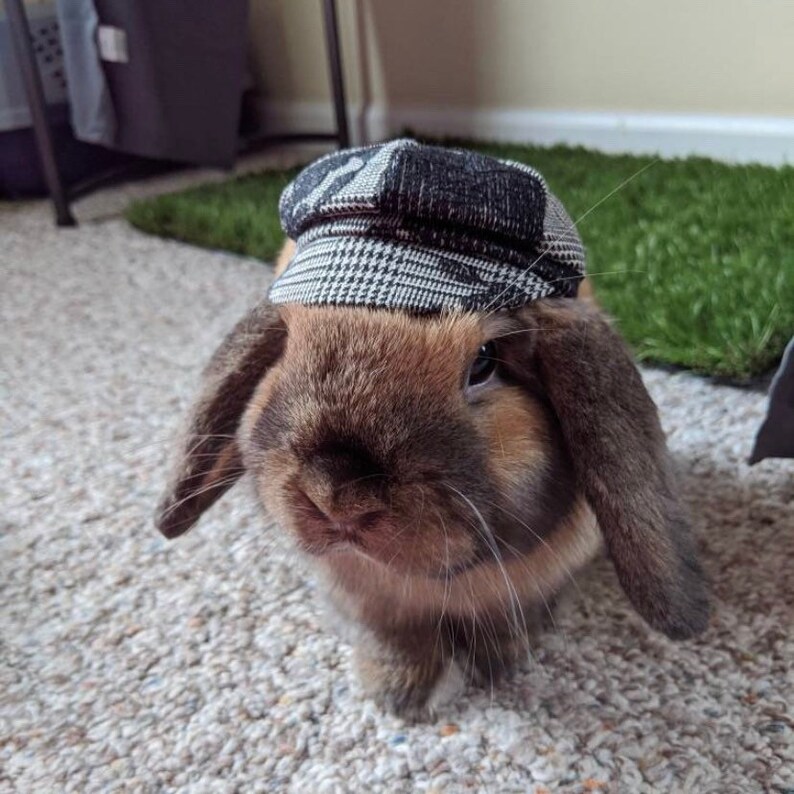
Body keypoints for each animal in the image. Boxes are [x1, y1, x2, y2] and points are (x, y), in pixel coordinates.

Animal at [155, 237, 710, 720]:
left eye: (484, 361)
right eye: (287, 346)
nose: (336, 495)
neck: (438, 582)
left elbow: (504, 621)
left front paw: (494, 665)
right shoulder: (372, 605)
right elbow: (395, 638)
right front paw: (399, 694)